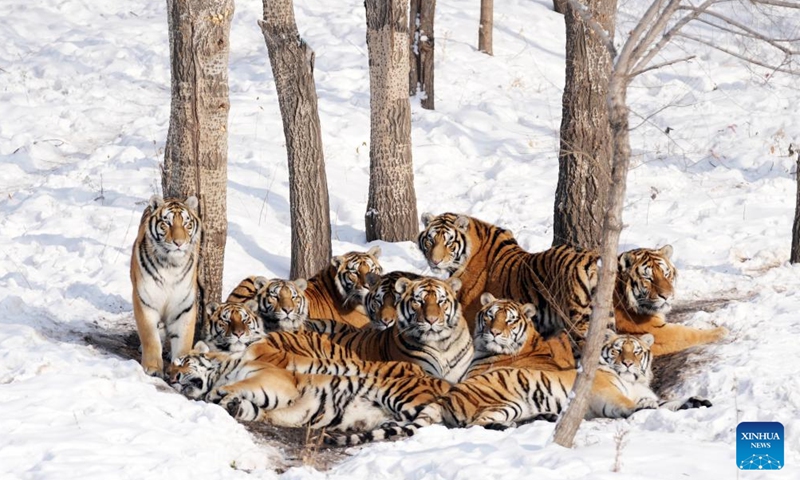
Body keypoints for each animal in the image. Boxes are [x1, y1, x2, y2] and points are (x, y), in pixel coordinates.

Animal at [130, 195, 201, 377]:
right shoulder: (145, 302)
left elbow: (184, 342)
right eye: (167, 223)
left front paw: (184, 369)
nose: (179, 243)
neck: (171, 266)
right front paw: (153, 368)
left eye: (187, 224)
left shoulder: (184, 307)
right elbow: (150, 338)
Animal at [441, 330, 712, 430]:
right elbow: (634, 404)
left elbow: (670, 402)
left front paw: (698, 401)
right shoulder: (606, 394)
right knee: (476, 424)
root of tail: (446, 396)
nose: (627, 363)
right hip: (505, 401)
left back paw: (545, 417)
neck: (634, 381)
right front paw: (643, 407)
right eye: (618, 350)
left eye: (636, 351)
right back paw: (506, 426)